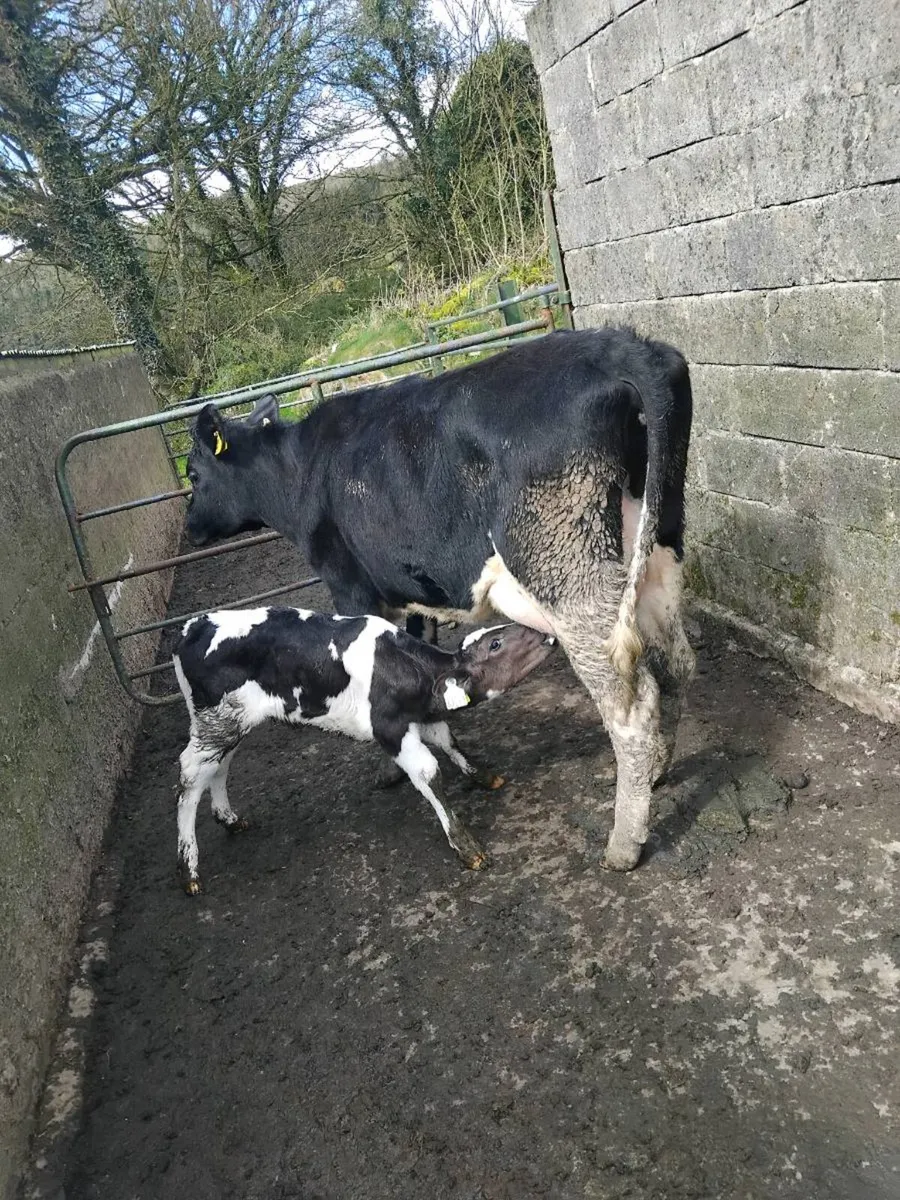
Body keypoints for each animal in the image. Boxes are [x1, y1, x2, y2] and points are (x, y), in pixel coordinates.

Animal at [173, 609, 556, 893]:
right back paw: (188, 867)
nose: (545, 632)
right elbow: (429, 773)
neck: (407, 666)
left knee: (220, 766)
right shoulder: (389, 728)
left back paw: (228, 818)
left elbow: (450, 741)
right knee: (190, 776)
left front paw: (483, 775)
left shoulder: (420, 718)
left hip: (229, 722)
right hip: (216, 720)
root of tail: (192, 625)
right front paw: (465, 845)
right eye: (496, 643)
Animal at [184, 326, 695, 871]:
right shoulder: (411, 593)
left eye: (192, 474)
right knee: (677, 662)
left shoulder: (350, 584)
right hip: (657, 540)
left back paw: (624, 841)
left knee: (630, 703)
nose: (190, 529)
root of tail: (618, 344)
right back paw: (658, 770)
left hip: (566, 570)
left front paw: (390, 770)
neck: (301, 471)